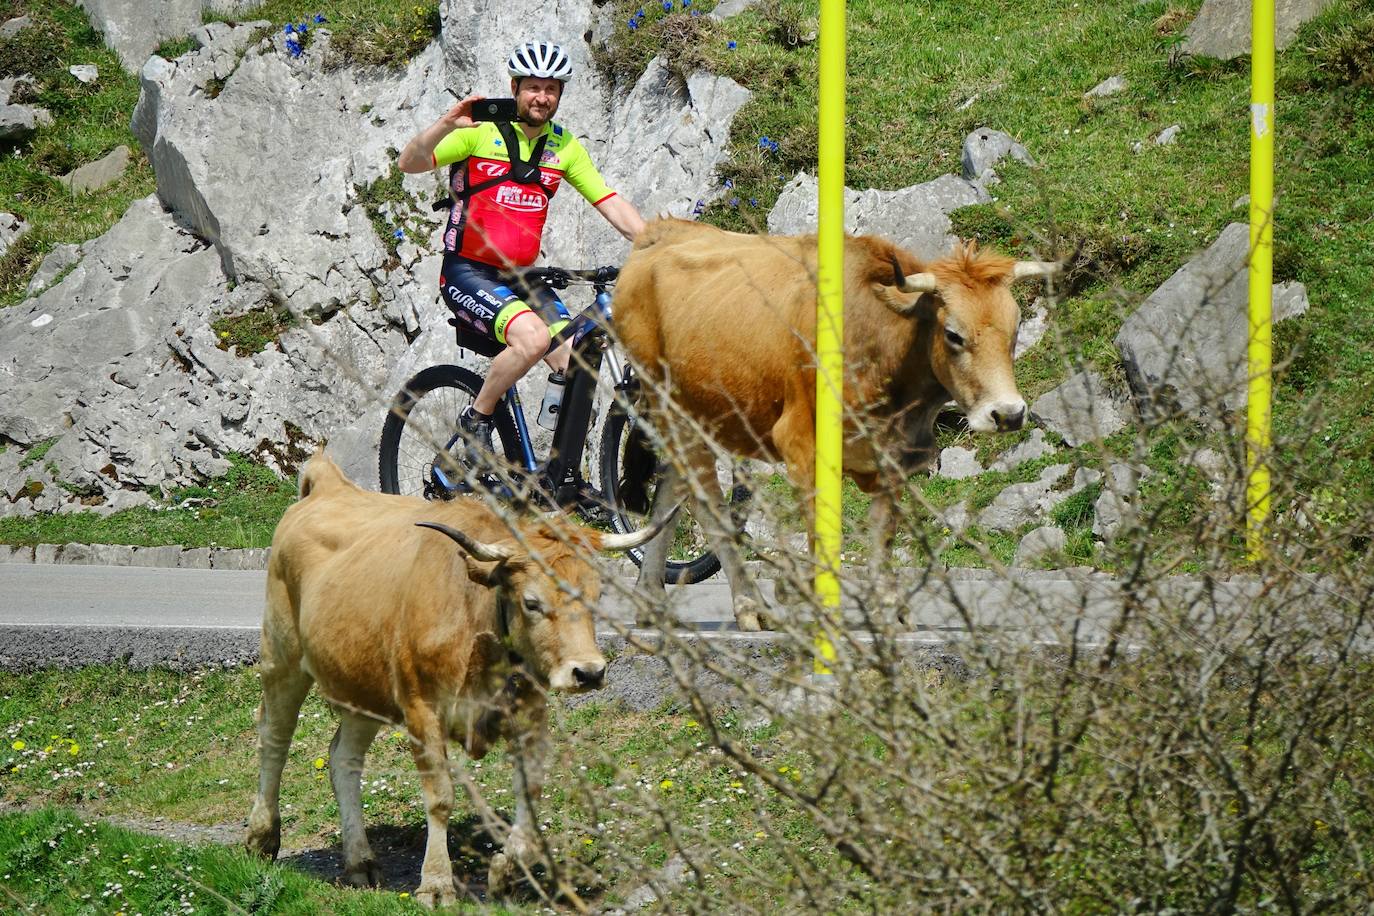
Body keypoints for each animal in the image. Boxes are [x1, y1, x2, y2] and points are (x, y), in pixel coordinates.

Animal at [247, 455, 665, 906]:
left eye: (596, 595)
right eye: (532, 602)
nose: (588, 672)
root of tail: (327, 485)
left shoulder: (529, 714)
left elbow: (532, 790)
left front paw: (504, 870)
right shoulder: (421, 708)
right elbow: (440, 798)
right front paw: (435, 883)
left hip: (361, 683)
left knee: (344, 759)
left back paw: (360, 861)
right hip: (281, 658)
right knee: (274, 739)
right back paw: (262, 837)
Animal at [612, 216, 1049, 631]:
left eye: (1015, 330)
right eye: (953, 334)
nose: (1008, 413)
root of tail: (659, 233)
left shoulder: (895, 454)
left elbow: (883, 531)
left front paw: (891, 608)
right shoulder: (800, 443)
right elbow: (821, 531)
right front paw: (818, 601)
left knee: (669, 493)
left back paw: (651, 601)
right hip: (672, 410)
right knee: (709, 509)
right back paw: (751, 606)